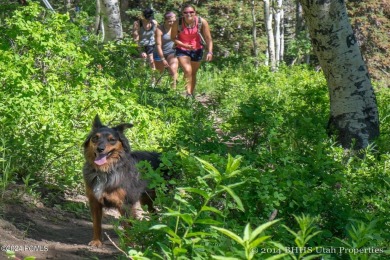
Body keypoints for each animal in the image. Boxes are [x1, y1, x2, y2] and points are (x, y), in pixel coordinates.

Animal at [83, 115, 161, 247]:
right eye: (95, 138)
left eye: (112, 140)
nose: (100, 149)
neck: (105, 171)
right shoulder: (94, 202)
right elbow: (96, 224)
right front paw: (97, 241)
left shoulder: (125, 204)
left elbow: (128, 227)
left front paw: (129, 246)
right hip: (146, 200)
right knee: (154, 213)